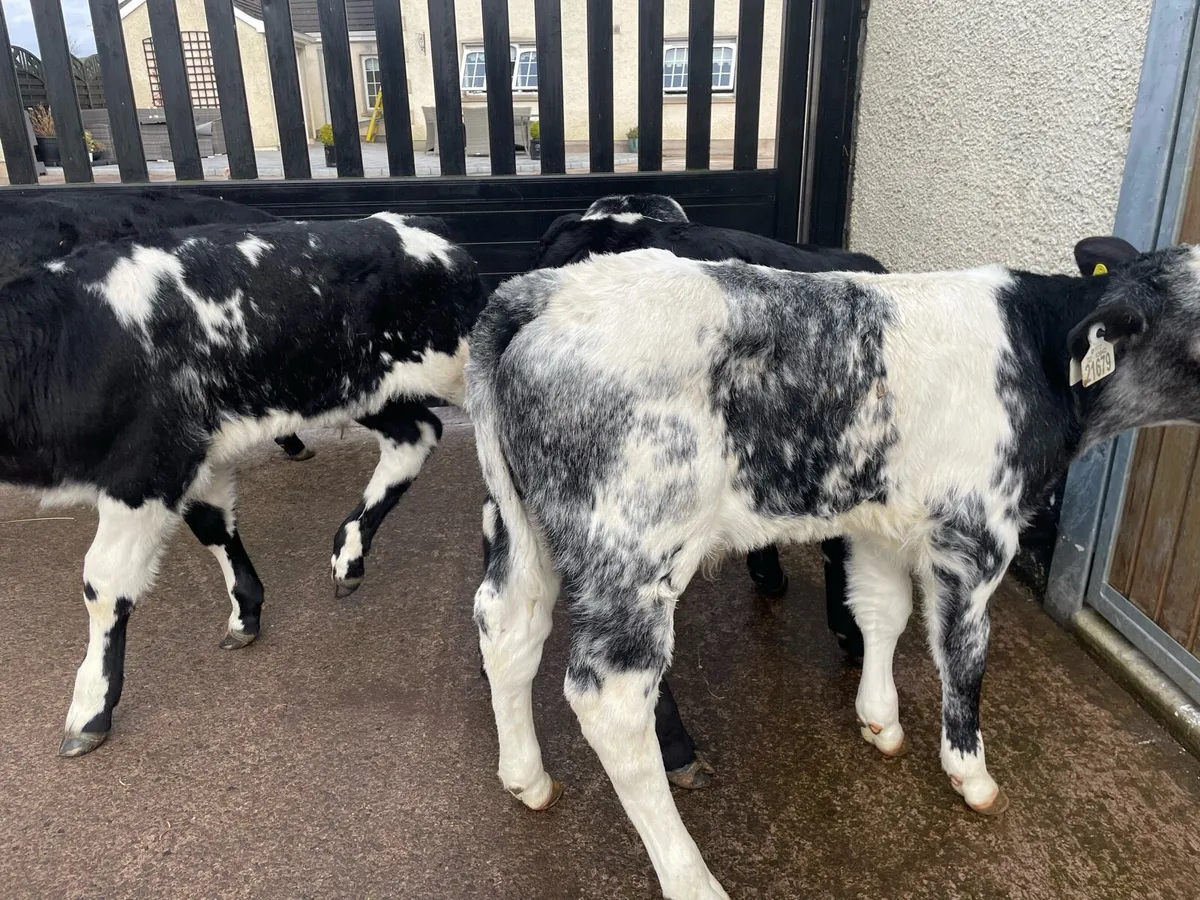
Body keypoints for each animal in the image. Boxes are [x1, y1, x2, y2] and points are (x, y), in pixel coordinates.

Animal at [1, 212, 484, 756]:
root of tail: (413, 223)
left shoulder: (146, 466)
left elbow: (104, 583)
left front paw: (91, 708)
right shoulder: (193, 455)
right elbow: (214, 526)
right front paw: (245, 612)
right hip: (356, 387)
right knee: (415, 436)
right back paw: (348, 555)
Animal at [465, 235, 1194, 898]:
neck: (1038, 351)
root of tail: (547, 289)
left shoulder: (879, 518)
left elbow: (880, 612)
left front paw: (879, 719)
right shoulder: (976, 533)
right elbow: (964, 654)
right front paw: (971, 775)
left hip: (521, 521)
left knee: (506, 623)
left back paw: (526, 777)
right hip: (632, 547)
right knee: (612, 700)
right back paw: (691, 878)